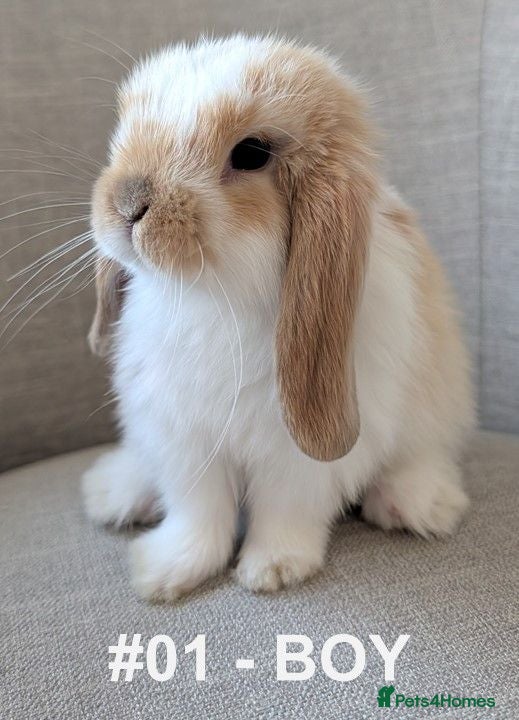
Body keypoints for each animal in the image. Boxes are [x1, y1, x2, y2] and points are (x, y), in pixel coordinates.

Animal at [81, 34, 475, 601]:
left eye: (251, 154)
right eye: (128, 128)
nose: (128, 202)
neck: (209, 297)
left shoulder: (297, 460)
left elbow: (286, 511)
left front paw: (273, 570)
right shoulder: (184, 441)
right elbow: (199, 514)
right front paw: (165, 572)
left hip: (433, 410)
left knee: (422, 454)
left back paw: (419, 504)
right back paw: (115, 491)